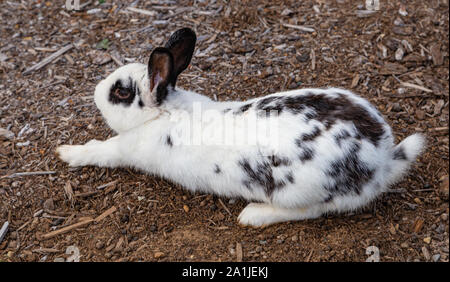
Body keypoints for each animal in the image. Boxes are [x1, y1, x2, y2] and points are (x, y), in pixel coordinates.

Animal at [56, 27, 426, 228]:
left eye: (120, 92)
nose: (95, 92)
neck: (164, 113)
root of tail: (383, 158)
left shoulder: (124, 149)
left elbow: (99, 150)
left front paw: (66, 152)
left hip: (299, 191)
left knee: (310, 211)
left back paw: (253, 215)